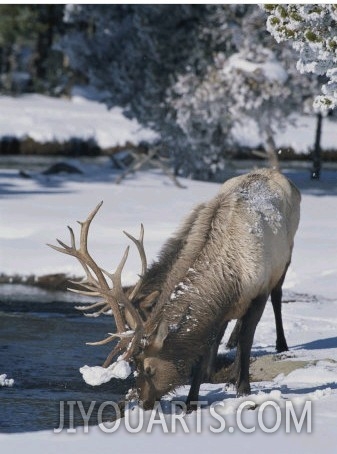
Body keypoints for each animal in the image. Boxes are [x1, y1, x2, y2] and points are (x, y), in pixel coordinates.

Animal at [49, 168, 300, 410]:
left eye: (149, 369)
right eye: (135, 366)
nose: (139, 401)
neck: (230, 277)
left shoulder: (259, 291)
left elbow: (247, 341)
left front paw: (242, 388)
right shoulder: (216, 311)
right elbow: (204, 349)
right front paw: (192, 400)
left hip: (286, 256)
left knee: (277, 297)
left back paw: (280, 344)